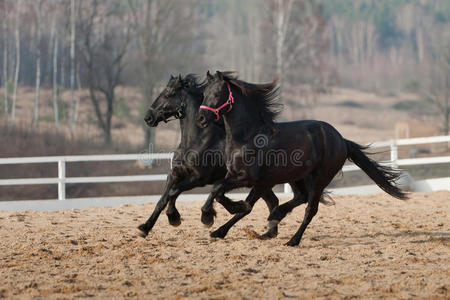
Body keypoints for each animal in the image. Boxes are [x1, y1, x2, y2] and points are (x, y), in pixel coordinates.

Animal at [139, 74, 282, 238]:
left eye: (169, 94)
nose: (148, 117)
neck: (196, 141)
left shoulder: (199, 178)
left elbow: (174, 192)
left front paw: (181, 217)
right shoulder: (175, 174)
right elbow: (163, 199)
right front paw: (145, 227)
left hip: (258, 183)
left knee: (250, 206)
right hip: (261, 185)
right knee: (272, 202)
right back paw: (269, 233)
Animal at [198, 71, 408, 247]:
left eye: (217, 93)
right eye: (204, 92)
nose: (201, 118)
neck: (248, 136)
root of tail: (341, 140)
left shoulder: (250, 179)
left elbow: (222, 191)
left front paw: (209, 217)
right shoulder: (244, 178)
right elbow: (227, 195)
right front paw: (220, 227)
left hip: (320, 178)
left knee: (310, 208)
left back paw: (293, 240)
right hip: (296, 176)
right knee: (301, 196)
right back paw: (276, 216)